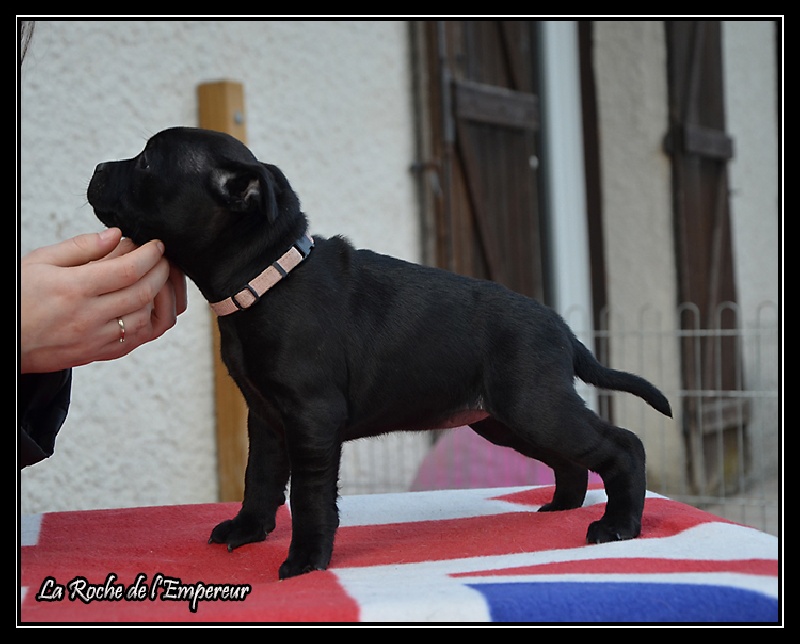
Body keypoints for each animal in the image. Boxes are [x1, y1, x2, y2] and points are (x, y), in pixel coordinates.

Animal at [88, 126, 672, 579]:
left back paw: (618, 525)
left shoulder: (311, 420)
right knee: (570, 459)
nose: (94, 168)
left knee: (623, 446)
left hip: (534, 405)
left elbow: (309, 497)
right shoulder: (266, 417)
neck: (267, 276)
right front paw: (249, 530)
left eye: (146, 162)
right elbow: (260, 479)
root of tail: (560, 327)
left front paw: (306, 560)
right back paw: (561, 506)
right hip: (505, 419)